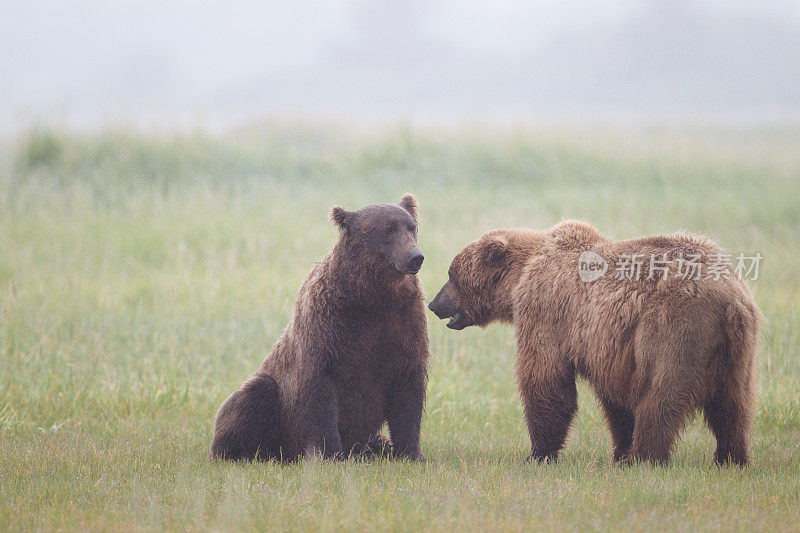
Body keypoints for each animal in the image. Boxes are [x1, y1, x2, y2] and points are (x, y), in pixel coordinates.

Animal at [209, 193, 428, 460]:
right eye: (388, 229)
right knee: (253, 395)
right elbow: (319, 391)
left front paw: (411, 453)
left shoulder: (402, 322)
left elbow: (408, 390)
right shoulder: (328, 327)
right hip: (275, 405)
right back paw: (236, 452)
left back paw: (376, 446)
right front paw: (330, 453)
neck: (371, 297)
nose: (415, 257)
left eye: (411, 227)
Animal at [428, 218, 760, 464]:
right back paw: (731, 457)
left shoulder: (546, 311)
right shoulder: (609, 348)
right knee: (734, 404)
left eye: (452, 274)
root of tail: (730, 297)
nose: (434, 304)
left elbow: (546, 378)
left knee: (659, 394)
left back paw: (644, 458)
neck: (519, 277)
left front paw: (539, 453)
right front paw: (619, 450)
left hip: (675, 327)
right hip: (736, 347)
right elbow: (616, 402)